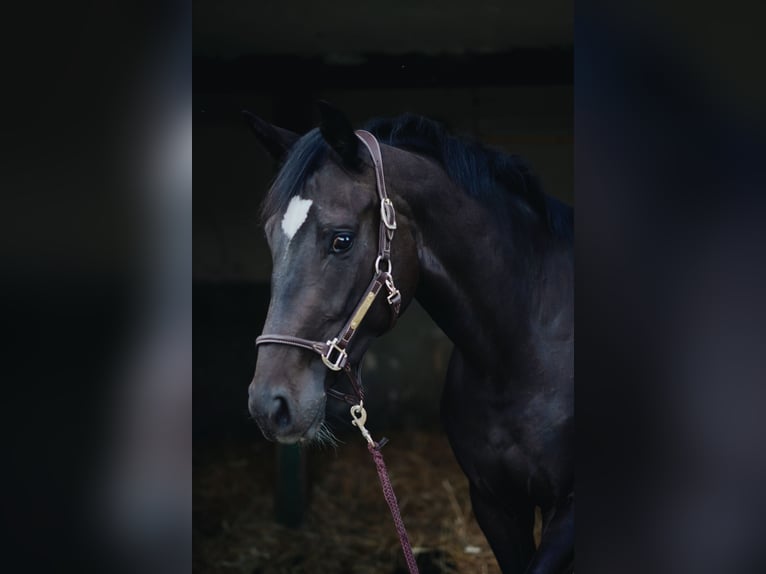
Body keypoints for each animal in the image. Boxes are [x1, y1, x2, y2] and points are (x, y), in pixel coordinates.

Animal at [245, 102, 574, 574]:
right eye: (272, 238)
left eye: (341, 240)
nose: (270, 405)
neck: (519, 358)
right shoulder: (494, 504)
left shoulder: (568, 511)